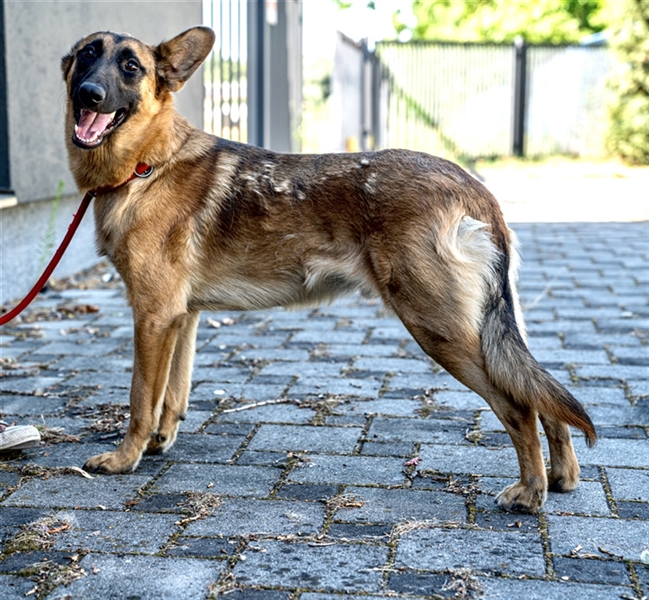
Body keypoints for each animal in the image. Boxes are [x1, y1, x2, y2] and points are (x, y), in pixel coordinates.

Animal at [61, 26, 595, 513]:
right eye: (87, 54)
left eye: (131, 67)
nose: (89, 93)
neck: (148, 163)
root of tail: (473, 185)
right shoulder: (182, 318)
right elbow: (171, 396)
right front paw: (158, 443)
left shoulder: (153, 317)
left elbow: (139, 401)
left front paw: (124, 458)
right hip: (485, 330)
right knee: (538, 391)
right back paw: (561, 476)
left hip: (440, 330)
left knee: (519, 404)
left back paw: (530, 491)